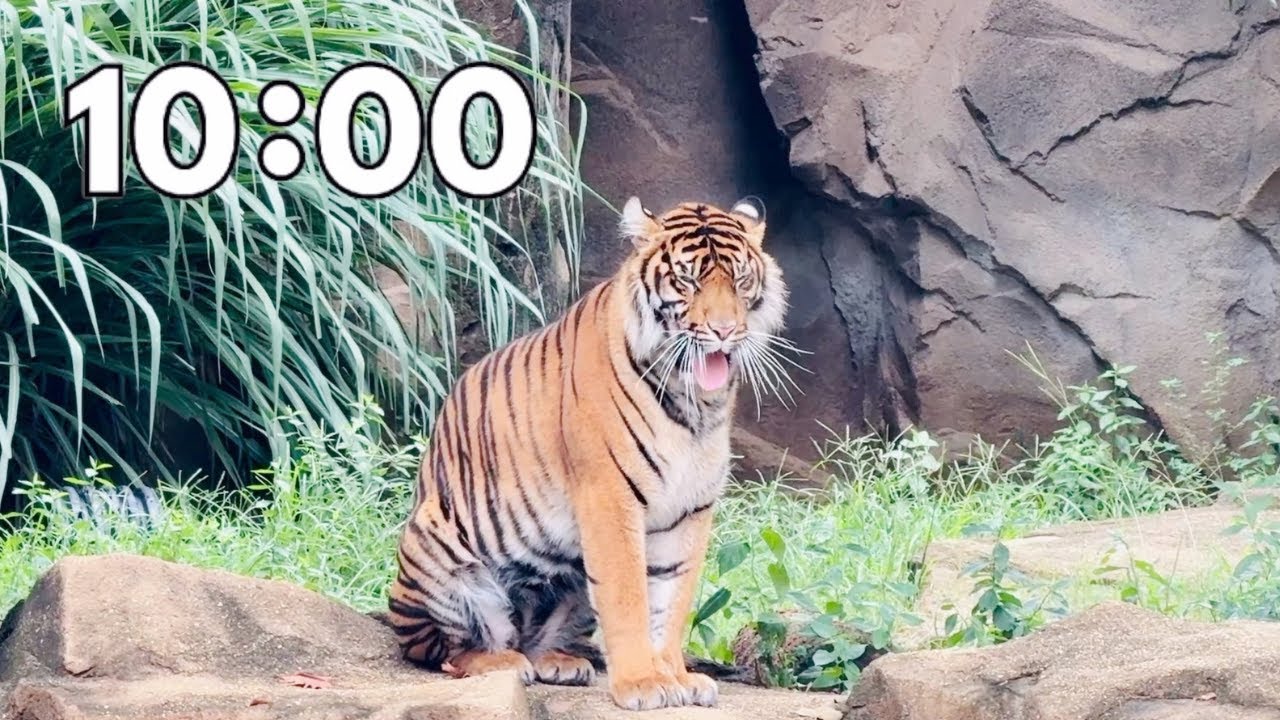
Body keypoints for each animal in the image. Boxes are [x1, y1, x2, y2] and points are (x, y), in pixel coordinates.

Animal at [385, 195, 789, 711]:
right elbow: (627, 594)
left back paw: (559, 661)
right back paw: (502, 661)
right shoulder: (610, 494)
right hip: (432, 547)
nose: (724, 331)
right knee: (446, 650)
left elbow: (673, 599)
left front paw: (675, 676)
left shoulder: (691, 508)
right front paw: (642, 683)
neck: (693, 402)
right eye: (688, 280)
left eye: (740, 280)